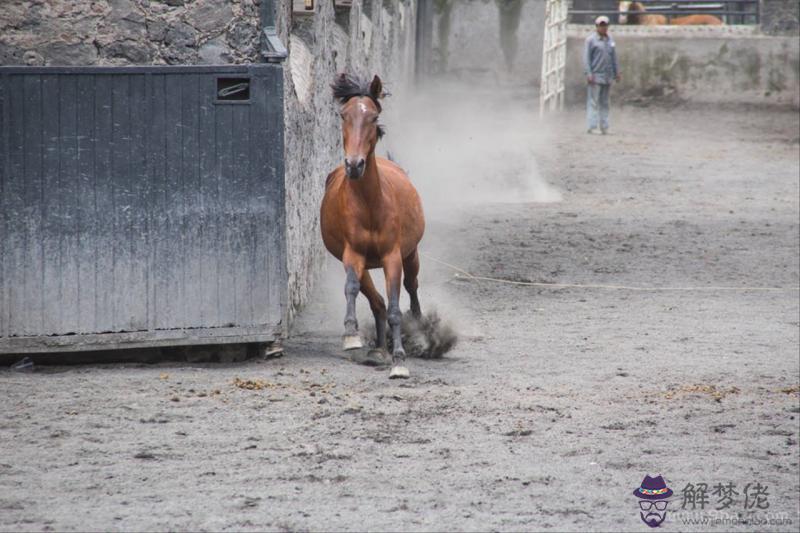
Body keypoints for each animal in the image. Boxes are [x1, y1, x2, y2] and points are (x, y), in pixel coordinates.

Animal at [322, 74, 428, 378]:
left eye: (373, 116)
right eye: (344, 115)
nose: (354, 165)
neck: (370, 205)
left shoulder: (393, 256)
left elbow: (395, 308)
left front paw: (400, 362)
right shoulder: (352, 255)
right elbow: (352, 288)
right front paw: (351, 335)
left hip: (411, 254)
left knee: (411, 286)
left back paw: (418, 331)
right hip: (366, 264)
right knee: (375, 300)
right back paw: (379, 349)